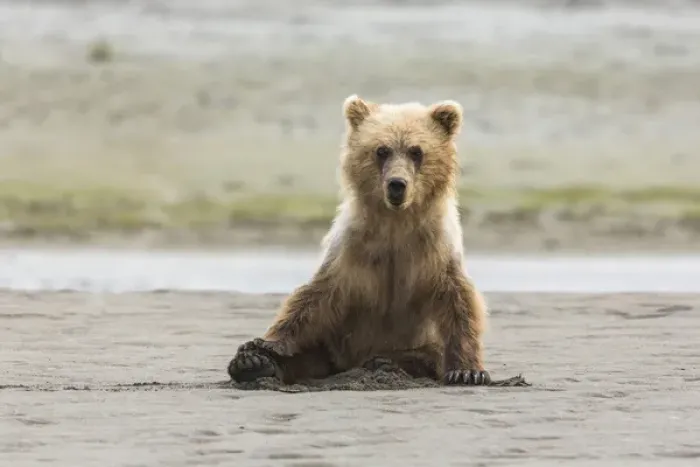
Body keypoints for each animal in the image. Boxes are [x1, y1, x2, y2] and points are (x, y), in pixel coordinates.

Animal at [227, 94, 490, 386]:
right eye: (382, 150)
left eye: (416, 151)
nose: (397, 185)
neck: (395, 222)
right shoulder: (352, 248)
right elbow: (314, 297)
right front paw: (266, 344)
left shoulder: (435, 250)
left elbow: (459, 302)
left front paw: (467, 371)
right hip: (331, 345)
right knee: (309, 353)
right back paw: (252, 362)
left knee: (425, 354)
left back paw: (387, 363)